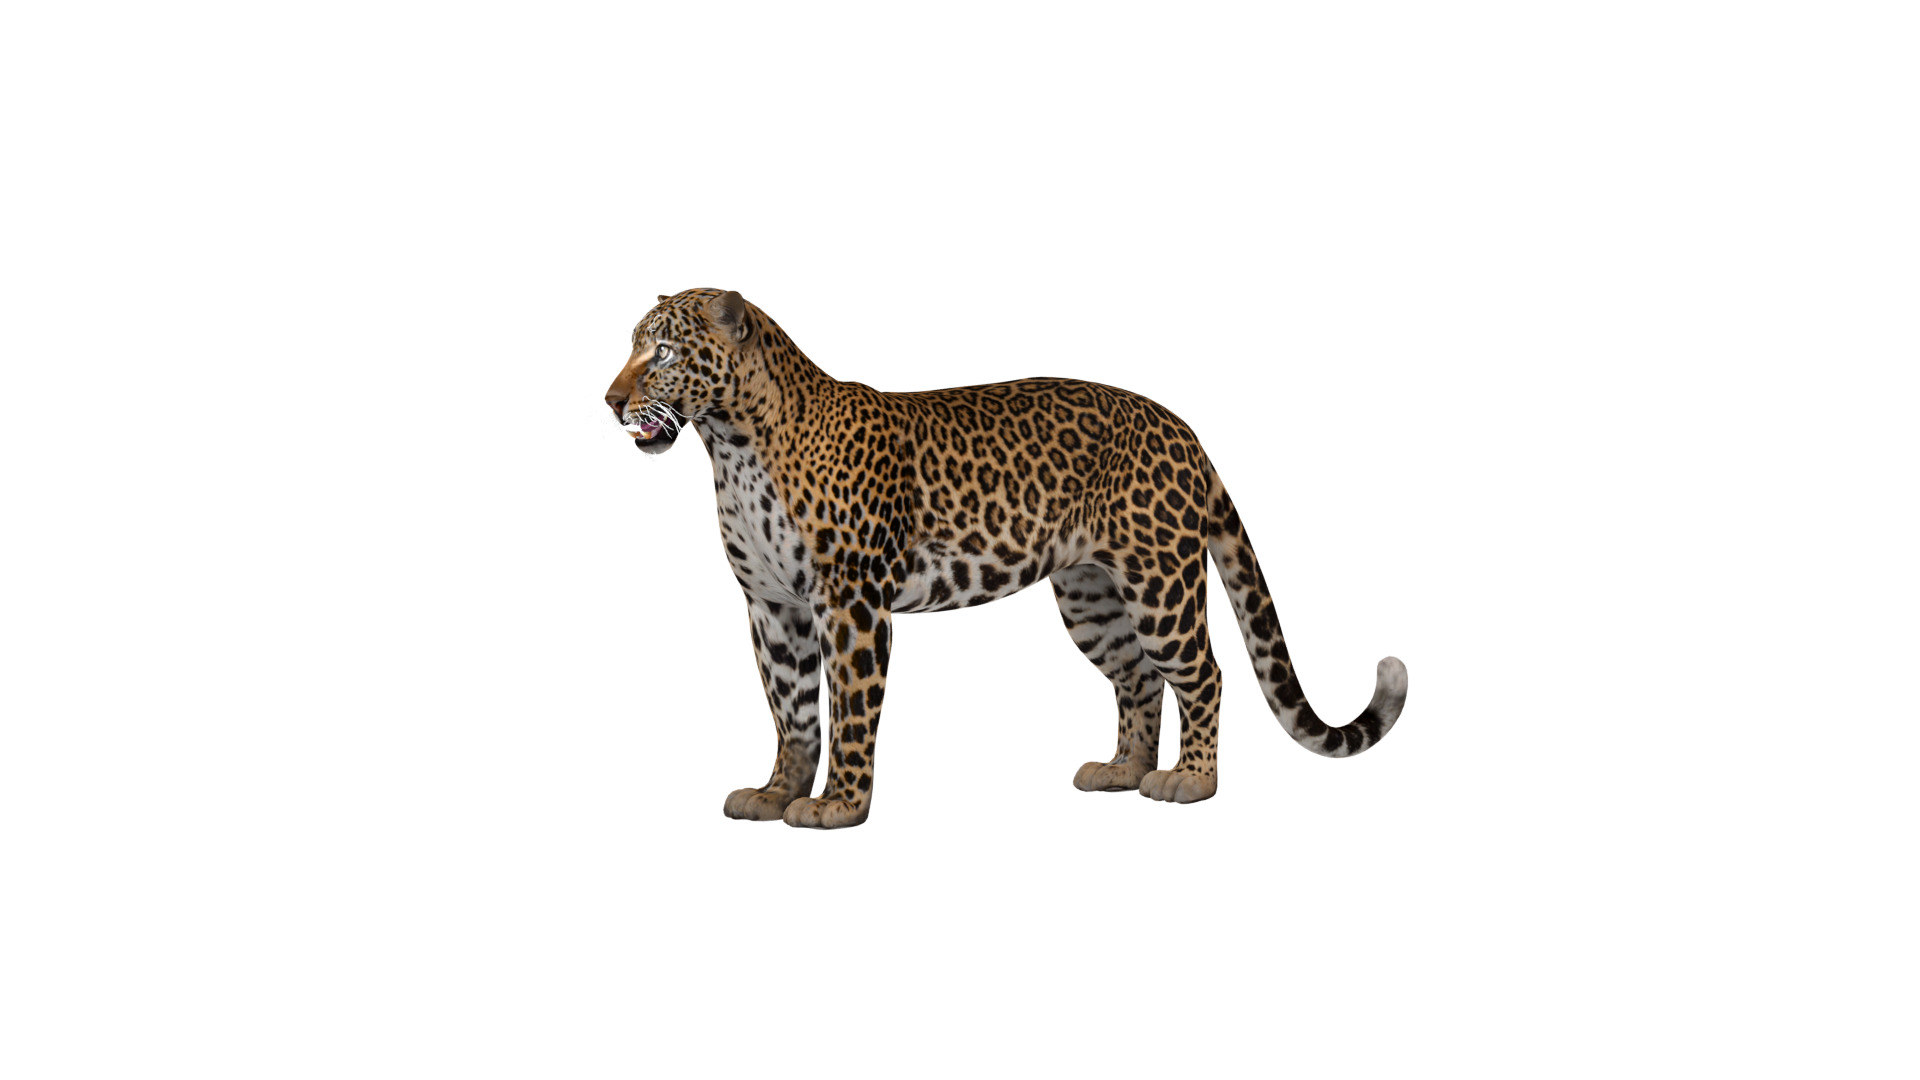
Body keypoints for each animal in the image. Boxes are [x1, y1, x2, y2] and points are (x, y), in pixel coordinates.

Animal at [604, 288, 1408, 829]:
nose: (610, 401)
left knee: (1202, 673)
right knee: (1139, 679)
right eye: (634, 346)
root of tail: (1181, 427)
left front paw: (839, 803)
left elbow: (850, 707)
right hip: (1091, 596)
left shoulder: (852, 603)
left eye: (664, 352)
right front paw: (777, 792)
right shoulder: (773, 607)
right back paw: (1122, 770)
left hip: (1161, 585)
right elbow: (791, 710)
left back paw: (1191, 780)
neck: (733, 446)